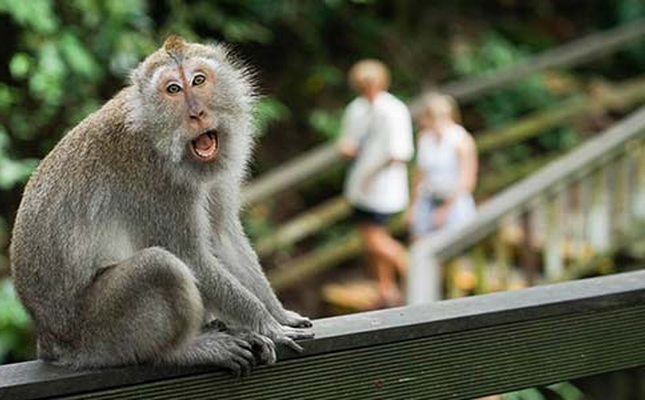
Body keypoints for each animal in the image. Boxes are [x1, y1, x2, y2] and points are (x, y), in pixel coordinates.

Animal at [8, 35, 312, 376]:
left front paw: (279, 313)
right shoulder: (156, 182)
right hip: (97, 333)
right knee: (161, 267)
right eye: (173, 89)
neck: (159, 136)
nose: (197, 114)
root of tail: (49, 340)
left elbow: (222, 235)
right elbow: (189, 257)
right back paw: (185, 351)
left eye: (198, 80)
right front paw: (264, 323)